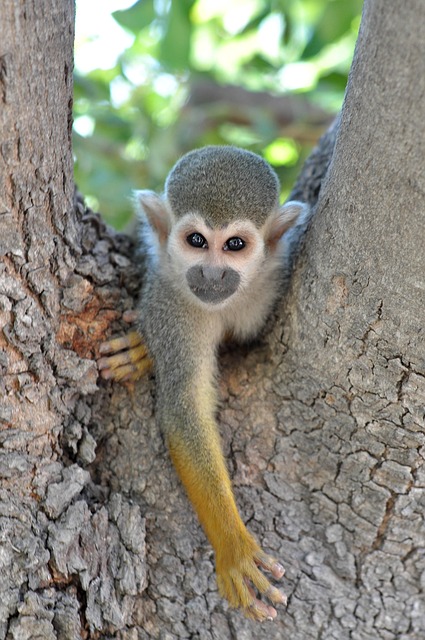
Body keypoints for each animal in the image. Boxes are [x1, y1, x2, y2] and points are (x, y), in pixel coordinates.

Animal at [98, 145, 308, 621]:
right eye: (196, 241)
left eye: (234, 245)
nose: (212, 276)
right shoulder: (172, 301)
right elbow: (184, 409)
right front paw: (233, 548)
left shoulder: (271, 284)